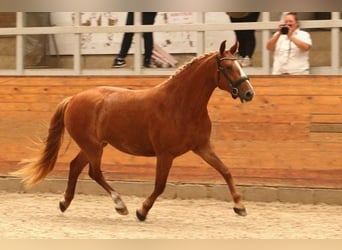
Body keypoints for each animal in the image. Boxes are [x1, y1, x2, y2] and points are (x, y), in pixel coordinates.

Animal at [12, 40, 254, 221]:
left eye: (240, 65)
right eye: (228, 68)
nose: (249, 93)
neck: (180, 105)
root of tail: (73, 98)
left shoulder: (202, 147)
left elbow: (226, 171)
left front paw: (240, 206)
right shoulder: (165, 154)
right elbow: (160, 185)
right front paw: (141, 211)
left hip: (93, 146)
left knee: (75, 167)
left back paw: (64, 203)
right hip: (93, 147)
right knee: (94, 172)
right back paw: (120, 205)